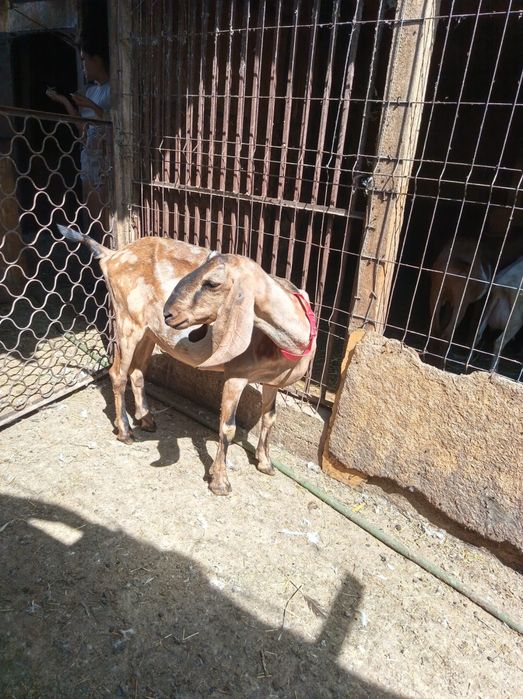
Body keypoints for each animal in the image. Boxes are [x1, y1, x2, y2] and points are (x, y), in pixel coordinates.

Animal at [57, 225, 317, 495]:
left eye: (212, 283)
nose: (169, 313)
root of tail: (112, 255)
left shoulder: (272, 381)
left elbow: (270, 417)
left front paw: (266, 464)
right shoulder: (236, 375)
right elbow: (228, 427)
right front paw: (220, 482)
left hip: (149, 333)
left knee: (137, 372)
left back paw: (147, 420)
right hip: (127, 321)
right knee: (117, 373)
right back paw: (126, 432)